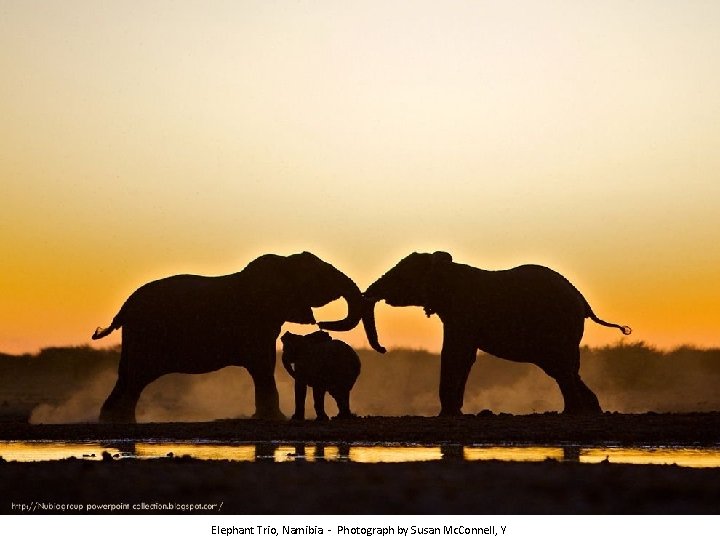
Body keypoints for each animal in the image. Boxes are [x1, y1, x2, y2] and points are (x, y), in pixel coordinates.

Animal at [91, 251, 388, 424]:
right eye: (318, 277)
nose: (322, 323)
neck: (282, 263)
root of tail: (124, 309)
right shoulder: (256, 321)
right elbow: (263, 364)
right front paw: (275, 419)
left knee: (127, 377)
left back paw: (110, 420)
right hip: (146, 335)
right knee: (136, 378)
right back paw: (121, 422)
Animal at [362, 251, 632, 416]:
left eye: (400, 275)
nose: (383, 349)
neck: (447, 269)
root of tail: (583, 301)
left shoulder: (463, 312)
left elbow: (454, 353)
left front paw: (446, 414)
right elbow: (465, 357)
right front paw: (455, 412)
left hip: (559, 326)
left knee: (562, 368)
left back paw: (571, 413)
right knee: (562, 368)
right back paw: (589, 410)